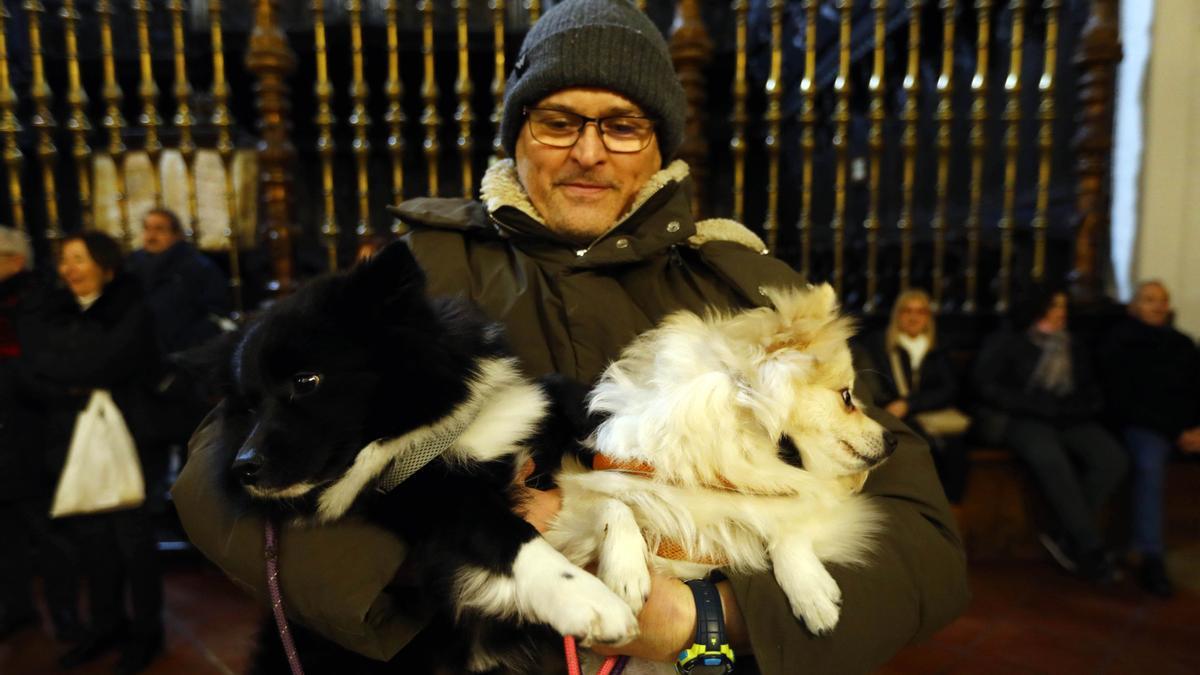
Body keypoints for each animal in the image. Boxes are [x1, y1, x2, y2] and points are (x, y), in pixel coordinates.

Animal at [201, 242, 638, 672]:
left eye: (306, 380)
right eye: (250, 405)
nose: (244, 468)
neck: (434, 429)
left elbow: (607, 488)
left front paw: (628, 575)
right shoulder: (431, 500)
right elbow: (508, 535)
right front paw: (589, 601)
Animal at [549, 283, 897, 634]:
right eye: (847, 397)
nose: (893, 440)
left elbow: (787, 522)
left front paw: (811, 592)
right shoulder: (577, 490)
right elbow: (614, 505)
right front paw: (625, 573)